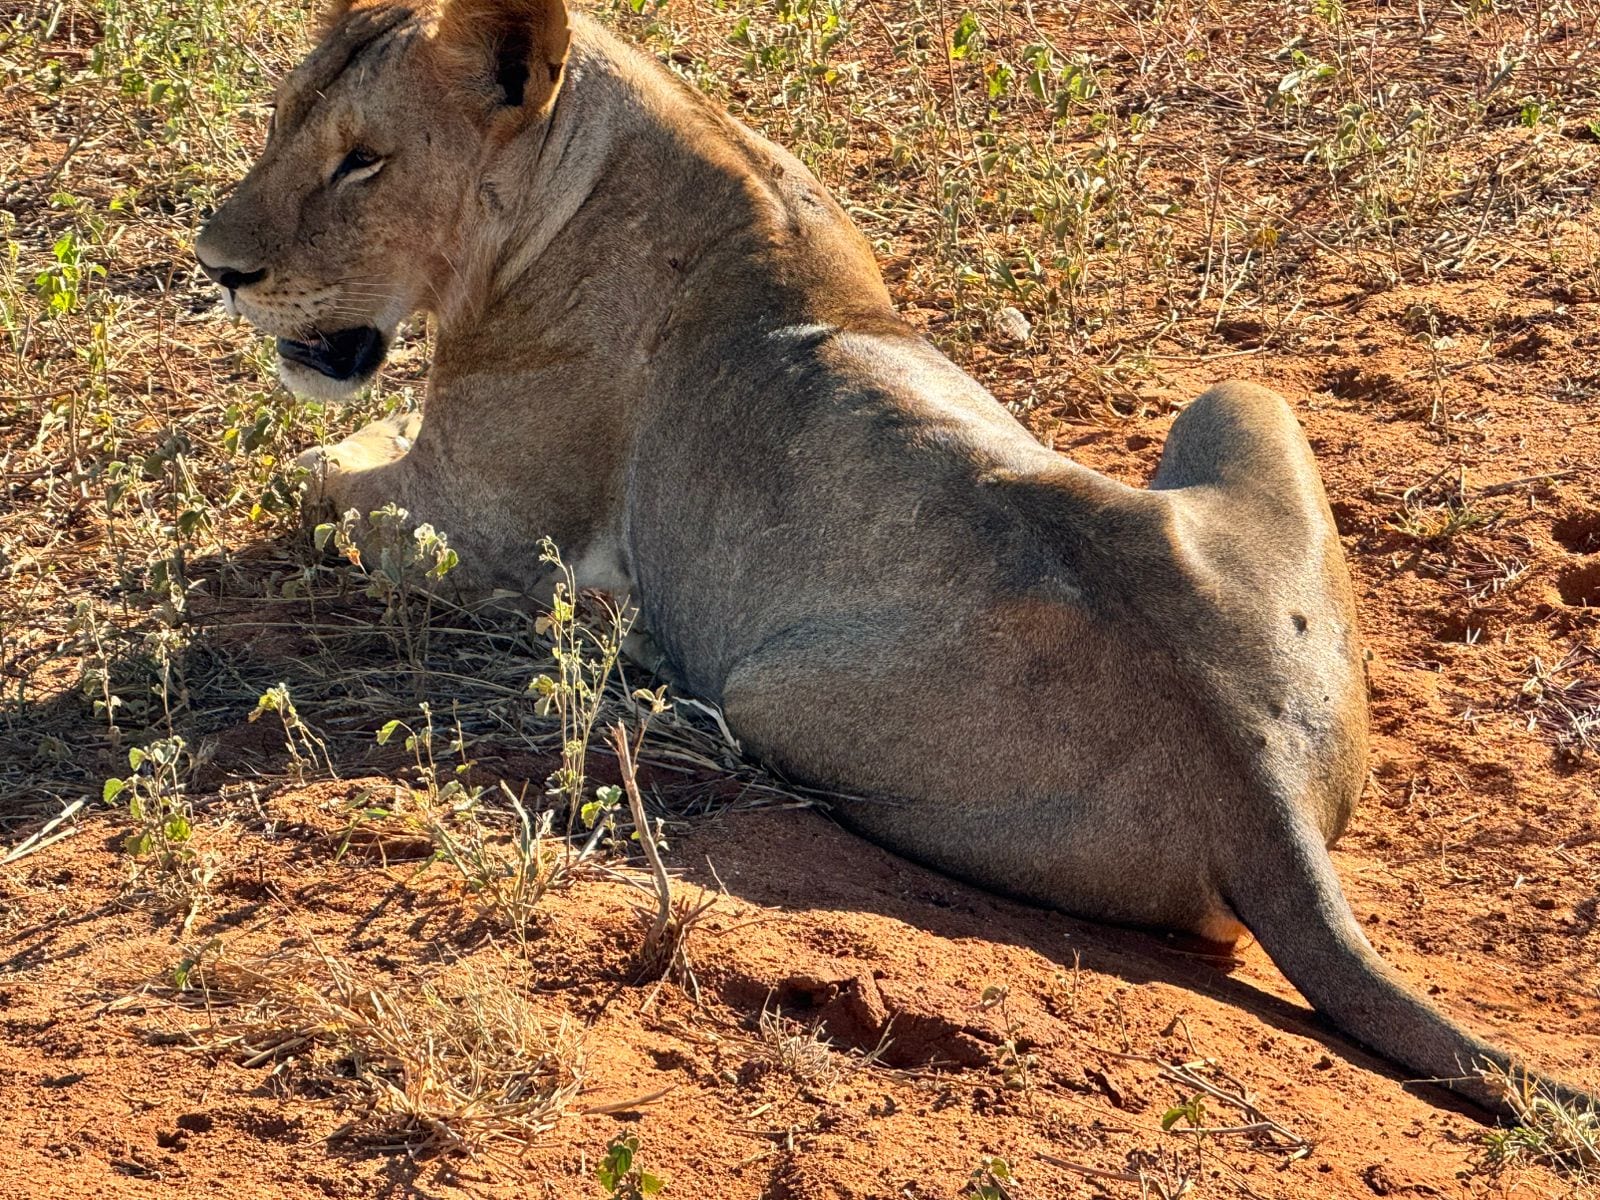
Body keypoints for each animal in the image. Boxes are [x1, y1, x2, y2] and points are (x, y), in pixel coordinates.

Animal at [195, 0, 1592, 1117]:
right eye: (283, 122)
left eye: (364, 161)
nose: (218, 269)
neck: (623, 146)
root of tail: (1264, 784)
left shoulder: (470, 521)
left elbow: (303, 473)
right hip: (1241, 391)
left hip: (763, 689)